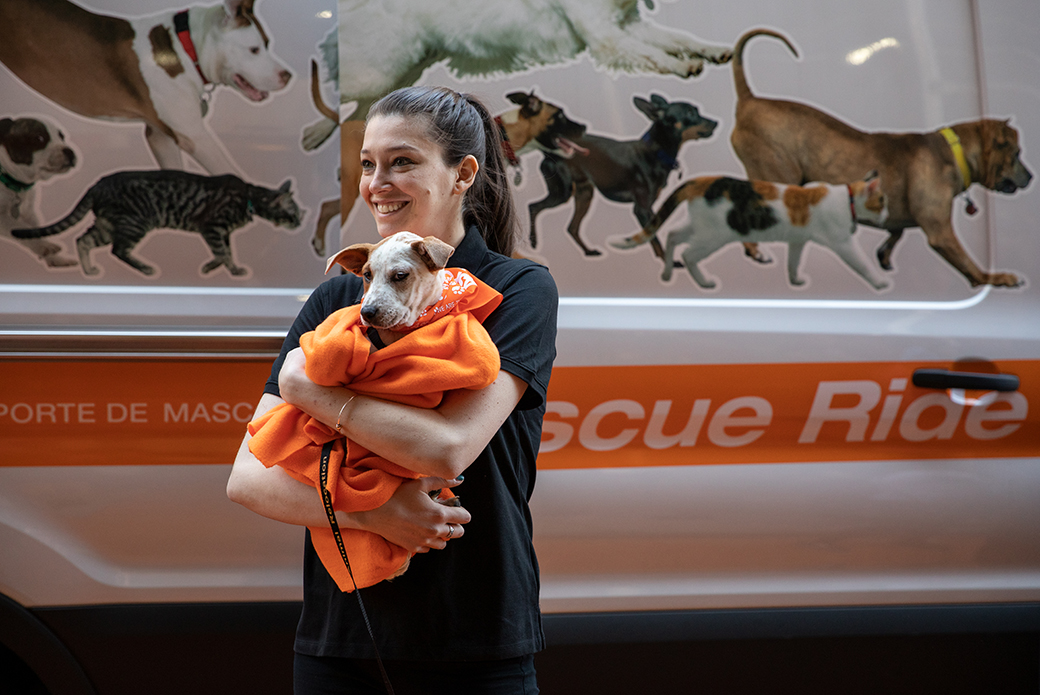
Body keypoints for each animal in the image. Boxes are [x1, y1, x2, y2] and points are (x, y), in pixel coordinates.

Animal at [0, 115, 78, 268]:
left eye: (62, 137)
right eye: (39, 138)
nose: (70, 152)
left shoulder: (30, 214)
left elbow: (35, 230)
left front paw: (56, 259)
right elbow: (17, 227)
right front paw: (44, 246)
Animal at [1, 0, 293, 176]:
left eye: (268, 44)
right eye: (253, 49)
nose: (288, 76)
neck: (185, 47)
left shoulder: (161, 136)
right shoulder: (195, 136)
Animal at [732, 28, 1031, 287]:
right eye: (1016, 153)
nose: (1031, 177)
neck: (955, 150)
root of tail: (750, 101)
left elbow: (895, 231)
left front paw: (885, 253)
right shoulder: (940, 232)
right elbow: (970, 264)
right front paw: (997, 278)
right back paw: (757, 251)